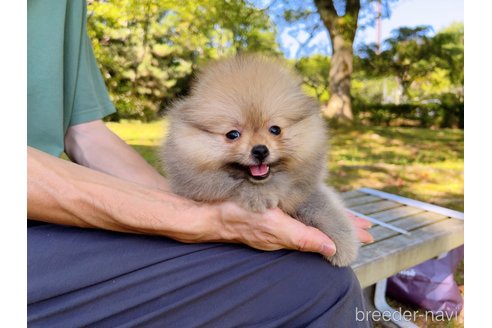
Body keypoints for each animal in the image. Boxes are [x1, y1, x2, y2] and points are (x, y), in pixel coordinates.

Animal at [161, 54, 358, 266]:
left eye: (275, 129)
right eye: (232, 134)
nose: (260, 150)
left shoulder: (303, 191)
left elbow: (324, 208)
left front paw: (344, 243)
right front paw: (257, 197)